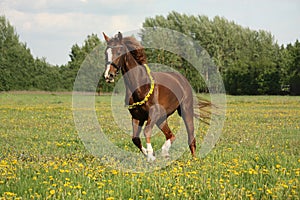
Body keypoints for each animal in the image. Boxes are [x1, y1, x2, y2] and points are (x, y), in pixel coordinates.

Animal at [102, 32, 203, 162]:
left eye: (119, 52)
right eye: (106, 53)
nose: (108, 75)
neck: (140, 85)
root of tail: (182, 80)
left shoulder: (153, 113)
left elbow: (146, 131)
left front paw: (150, 156)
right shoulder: (136, 117)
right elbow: (135, 139)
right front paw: (150, 154)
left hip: (185, 111)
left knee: (191, 137)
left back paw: (194, 159)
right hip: (161, 119)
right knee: (171, 135)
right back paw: (165, 153)